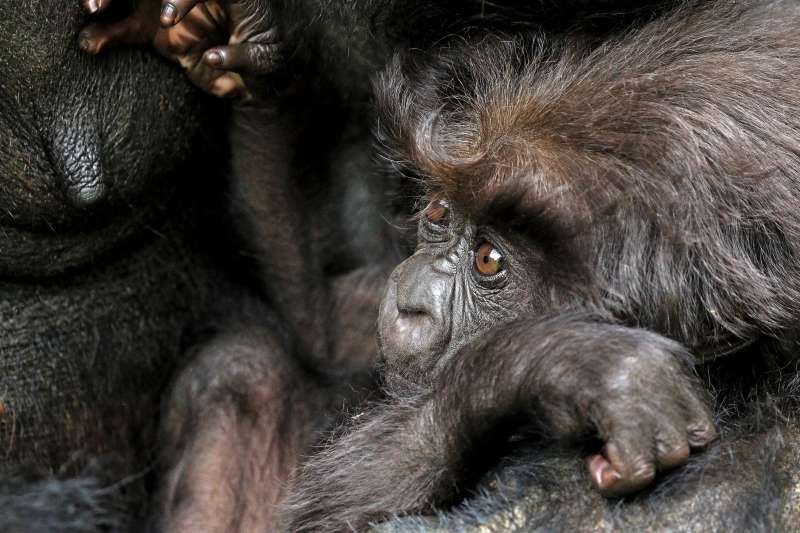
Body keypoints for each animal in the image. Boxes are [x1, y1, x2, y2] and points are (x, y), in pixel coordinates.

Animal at [83, 0, 800, 528]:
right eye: (436, 211)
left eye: (489, 261)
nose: (412, 301)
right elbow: (322, 321)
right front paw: (247, 54)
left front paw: (550, 358)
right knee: (242, 369)